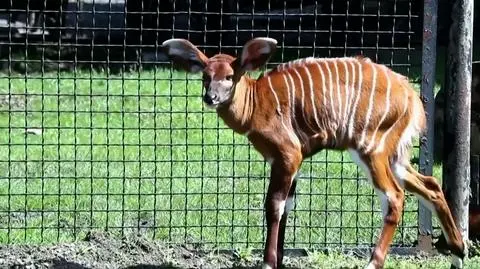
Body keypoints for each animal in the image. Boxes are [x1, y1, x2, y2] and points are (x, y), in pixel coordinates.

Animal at [161, 36, 464, 266]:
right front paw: (278, 260)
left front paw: (268, 262)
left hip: (372, 149)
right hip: (395, 156)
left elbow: (274, 205)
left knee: (395, 197)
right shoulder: (287, 162)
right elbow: (286, 206)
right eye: (205, 76)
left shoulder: (287, 155)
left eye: (229, 77)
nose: (210, 97)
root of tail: (412, 97)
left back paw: (373, 262)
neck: (256, 103)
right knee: (431, 185)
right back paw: (459, 253)